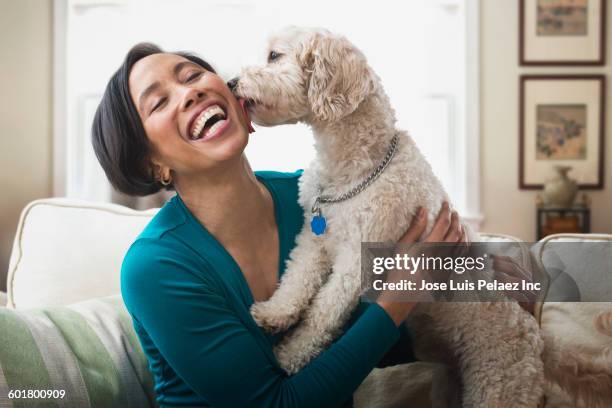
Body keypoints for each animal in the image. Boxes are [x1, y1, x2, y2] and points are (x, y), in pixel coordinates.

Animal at [233, 27, 544, 406]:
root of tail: (535, 338)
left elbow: (322, 313)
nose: (231, 82)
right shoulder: (315, 238)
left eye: (274, 56)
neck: (356, 167)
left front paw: (289, 356)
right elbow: (297, 280)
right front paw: (273, 314)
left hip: (498, 387)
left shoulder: (356, 260)